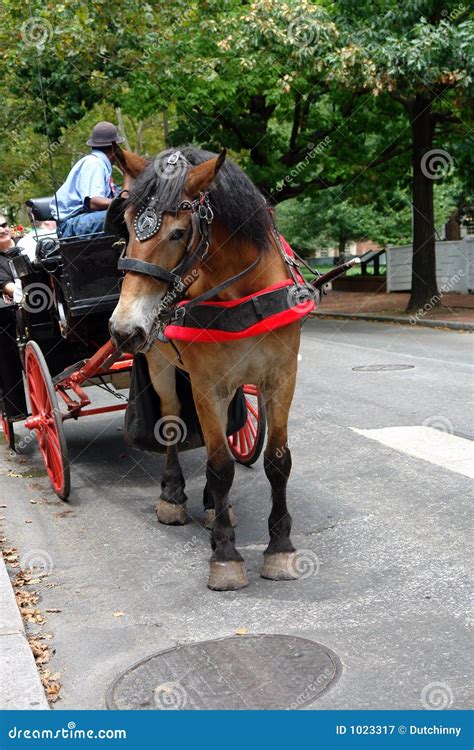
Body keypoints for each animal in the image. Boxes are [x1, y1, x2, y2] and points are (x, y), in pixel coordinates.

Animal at [108, 147, 308, 592]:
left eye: (178, 233)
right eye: (126, 225)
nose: (124, 330)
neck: (243, 294)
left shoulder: (281, 378)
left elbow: (277, 461)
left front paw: (280, 547)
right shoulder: (206, 384)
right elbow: (219, 466)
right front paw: (225, 554)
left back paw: (217, 507)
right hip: (162, 366)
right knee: (170, 423)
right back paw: (174, 497)